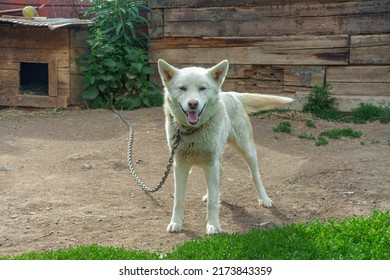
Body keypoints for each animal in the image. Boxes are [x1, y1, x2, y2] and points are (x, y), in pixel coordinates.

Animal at [158, 59, 292, 234]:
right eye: (182, 88)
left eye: (202, 88)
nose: (193, 103)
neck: (193, 131)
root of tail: (231, 94)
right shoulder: (180, 165)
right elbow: (178, 200)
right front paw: (176, 223)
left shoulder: (210, 163)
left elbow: (213, 203)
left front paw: (213, 225)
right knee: (220, 173)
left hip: (246, 151)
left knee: (255, 175)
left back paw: (264, 198)